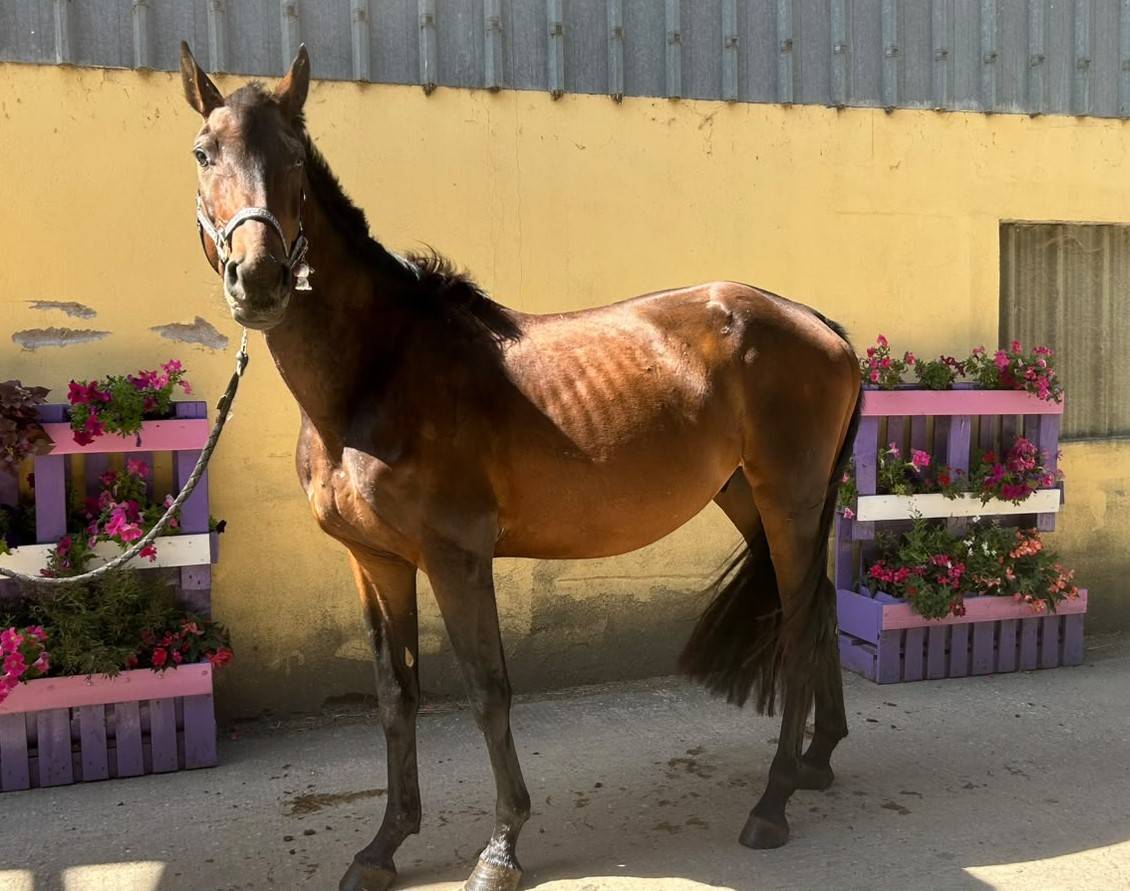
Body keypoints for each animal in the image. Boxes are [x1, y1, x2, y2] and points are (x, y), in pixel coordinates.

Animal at [178, 43, 862, 891]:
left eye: (296, 157)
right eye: (203, 153)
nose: (260, 279)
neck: (378, 371)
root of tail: (820, 325)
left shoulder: (457, 556)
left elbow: (486, 690)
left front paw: (500, 847)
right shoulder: (374, 561)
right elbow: (395, 695)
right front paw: (384, 844)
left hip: (789, 498)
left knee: (799, 623)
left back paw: (773, 801)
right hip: (747, 497)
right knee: (821, 605)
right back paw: (816, 760)